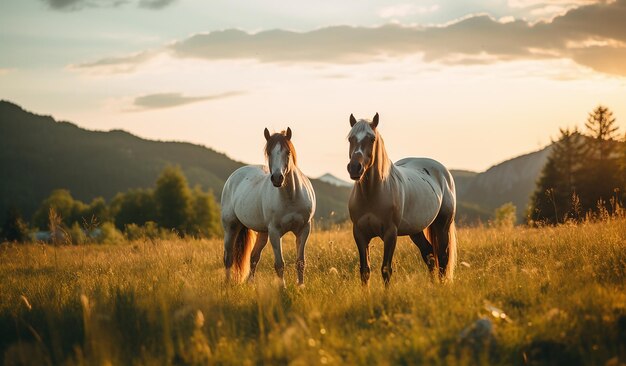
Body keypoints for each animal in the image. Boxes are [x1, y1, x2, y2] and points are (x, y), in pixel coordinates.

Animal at [221, 128, 316, 286]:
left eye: (287, 152)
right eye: (269, 152)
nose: (277, 178)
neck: (291, 197)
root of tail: (233, 178)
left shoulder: (304, 229)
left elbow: (300, 261)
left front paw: (300, 286)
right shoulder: (275, 232)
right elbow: (279, 264)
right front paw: (282, 287)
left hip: (262, 232)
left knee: (254, 257)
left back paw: (250, 284)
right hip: (231, 227)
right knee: (228, 257)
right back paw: (228, 284)